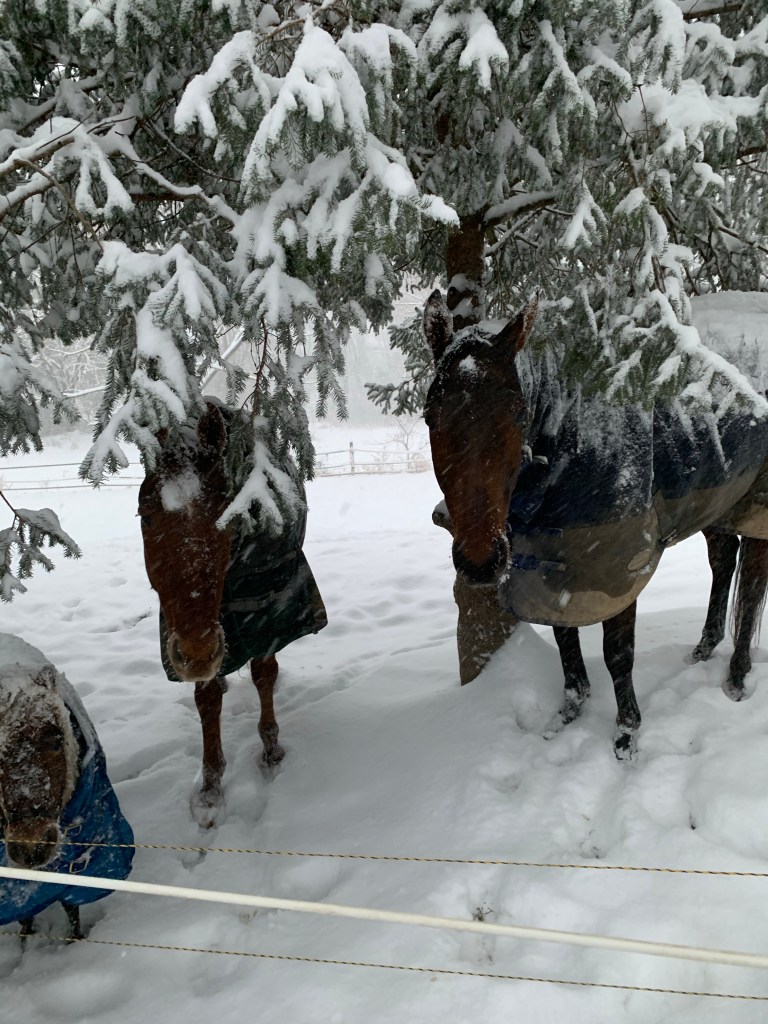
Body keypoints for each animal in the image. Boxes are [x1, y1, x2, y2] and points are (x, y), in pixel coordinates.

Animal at [0, 633, 134, 939]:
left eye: (55, 739)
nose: (30, 847)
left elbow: (71, 905)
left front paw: (75, 940)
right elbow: (25, 911)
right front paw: (26, 938)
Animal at [138, 400, 327, 825]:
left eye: (225, 517)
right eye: (146, 516)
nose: (196, 656)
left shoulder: (270, 610)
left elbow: (263, 674)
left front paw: (272, 752)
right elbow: (207, 699)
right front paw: (210, 790)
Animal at [423, 290, 768, 756]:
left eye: (517, 413)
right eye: (429, 415)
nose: (480, 560)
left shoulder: (617, 561)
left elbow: (617, 655)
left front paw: (626, 736)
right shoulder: (550, 562)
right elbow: (565, 641)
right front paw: (568, 716)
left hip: (755, 510)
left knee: (750, 591)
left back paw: (736, 675)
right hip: (718, 499)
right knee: (723, 563)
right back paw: (704, 646)